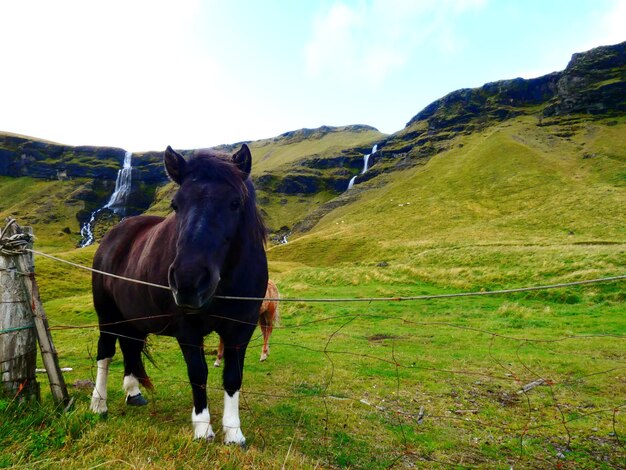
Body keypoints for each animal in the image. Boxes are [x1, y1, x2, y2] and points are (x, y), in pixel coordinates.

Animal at [88, 145, 266, 446]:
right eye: (175, 205)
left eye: (234, 203)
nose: (188, 281)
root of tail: (114, 234)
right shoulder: (188, 329)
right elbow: (198, 373)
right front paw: (203, 428)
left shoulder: (242, 327)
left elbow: (233, 376)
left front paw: (233, 432)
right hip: (108, 315)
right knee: (106, 353)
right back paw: (98, 404)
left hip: (133, 320)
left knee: (130, 347)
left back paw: (133, 393)